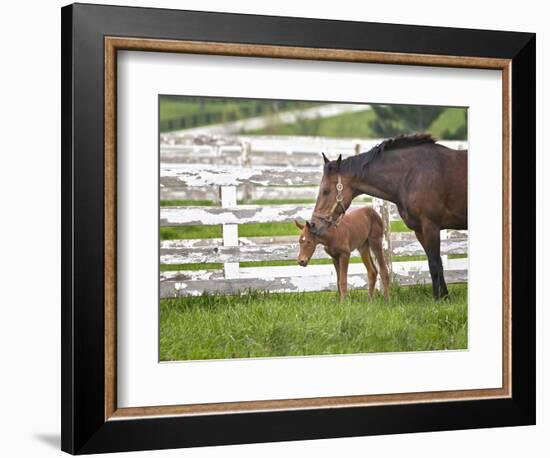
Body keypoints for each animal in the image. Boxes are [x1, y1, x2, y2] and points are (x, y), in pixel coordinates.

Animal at [312, 134, 468, 300]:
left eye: (326, 191)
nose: (314, 223)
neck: (413, 174)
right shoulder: (420, 230)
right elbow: (438, 263)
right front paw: (445, 298)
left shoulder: (431, 226)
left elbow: (434, 264)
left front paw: (437, 299)